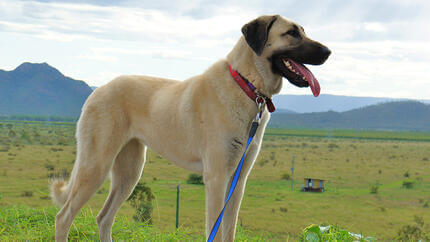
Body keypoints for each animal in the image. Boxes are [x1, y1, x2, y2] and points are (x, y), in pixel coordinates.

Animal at [50, 14, 330, 241]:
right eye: (291, 33)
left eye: (302, 31)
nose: (328, 51)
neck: (246, 84)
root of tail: (98, 90)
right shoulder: (216, 178)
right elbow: (215, 232)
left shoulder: (237, 182)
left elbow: (229, 232)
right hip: (96, 165)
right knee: (63, 217)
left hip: (130, 172)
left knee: (104, 217)